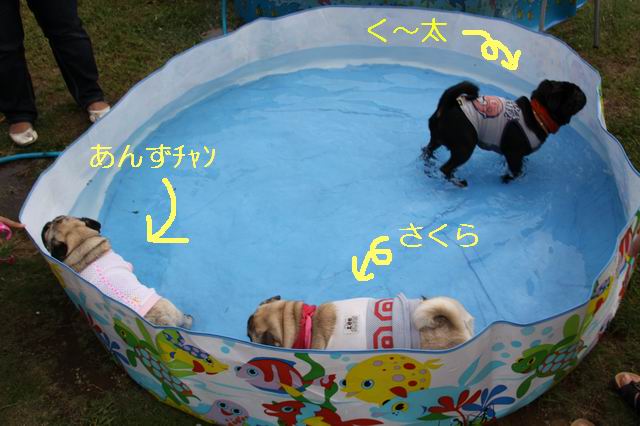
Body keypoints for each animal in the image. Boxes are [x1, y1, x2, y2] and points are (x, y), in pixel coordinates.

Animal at [422, 80, 587, 187]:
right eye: (575, 96)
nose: (583, 92)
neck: (538, 115)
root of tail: (446, 107)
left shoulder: (511, 154)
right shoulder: (514, 155)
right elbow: (516, 172)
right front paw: (506, 178)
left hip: (437, 140)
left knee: (428, 150)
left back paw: (429, 164)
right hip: (465, 148)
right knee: (446, 168)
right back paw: (457, 182)